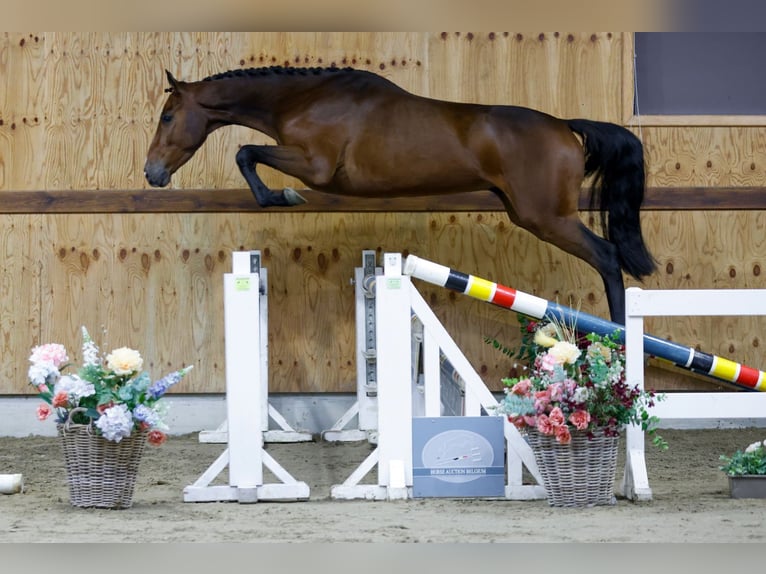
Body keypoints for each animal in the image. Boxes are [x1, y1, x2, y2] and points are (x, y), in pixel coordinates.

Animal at [142, 66, 656, 324]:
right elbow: (248, 153)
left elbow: (246, 152)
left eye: (168, 116)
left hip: (547, 217)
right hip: (528, 212)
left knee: (608, 256)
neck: (304, 98)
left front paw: (280, 198)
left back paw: (618, 335)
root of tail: (566, 126)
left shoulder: (315, 167)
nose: (152, 173)